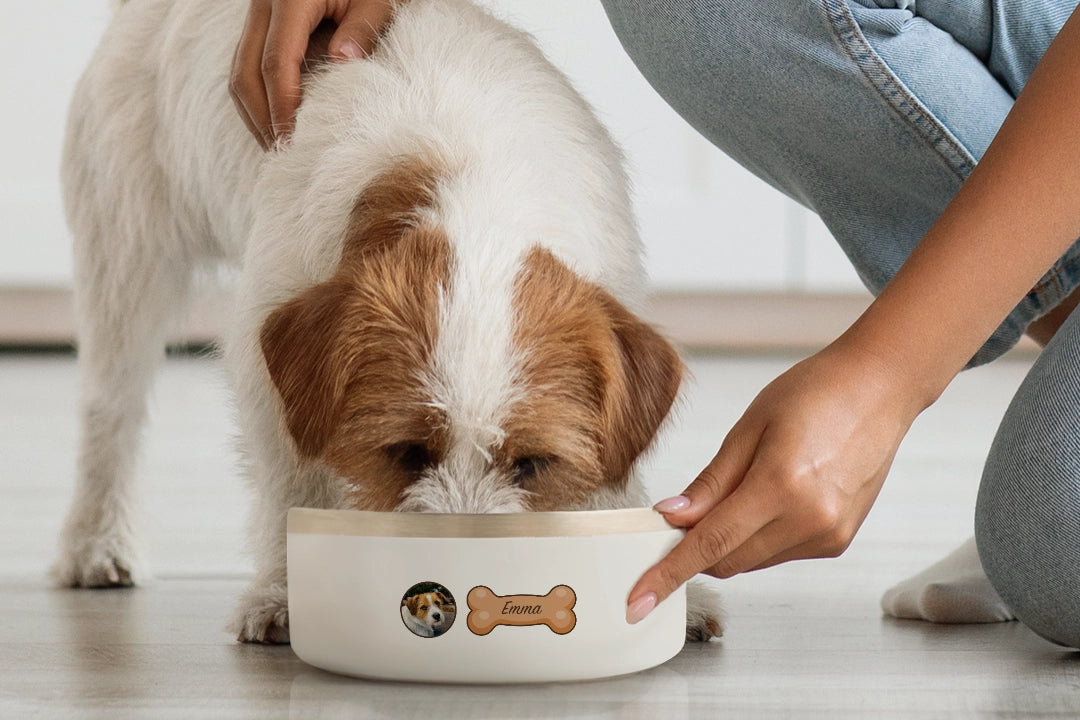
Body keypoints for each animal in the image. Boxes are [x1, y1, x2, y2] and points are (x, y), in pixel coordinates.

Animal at [52, 0, 725, 643]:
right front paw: (284, 595)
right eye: (405, 452)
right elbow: (292, 487)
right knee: (110, 410)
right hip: (127, 257)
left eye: (533, 464)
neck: (476, 196)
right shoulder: (269, 376)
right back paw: (96, 545)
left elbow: (612, 473)